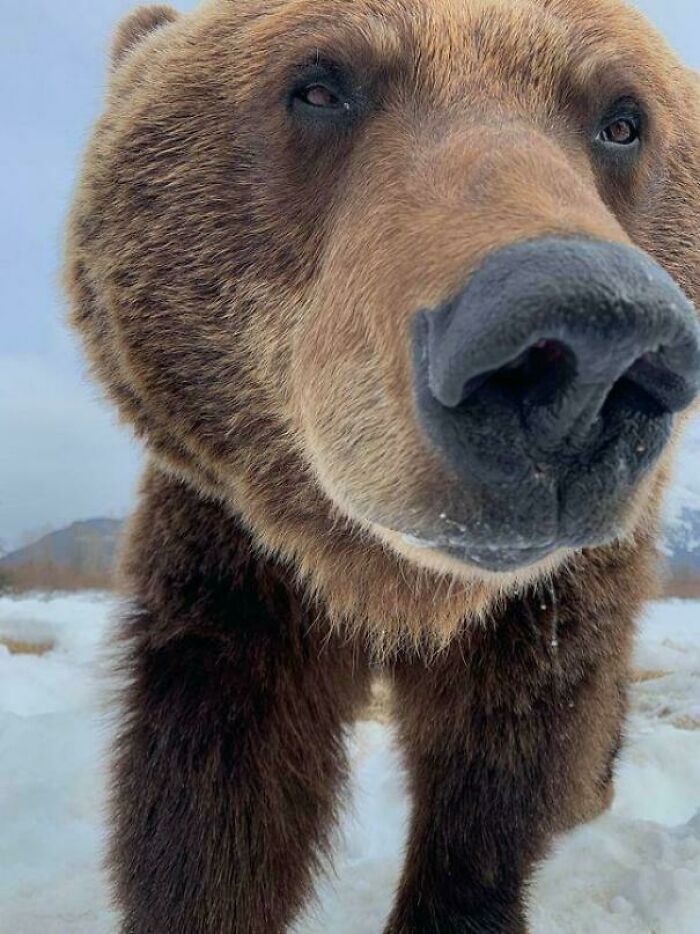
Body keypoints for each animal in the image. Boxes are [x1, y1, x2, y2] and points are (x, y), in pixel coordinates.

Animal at [64, 0, 700, 931]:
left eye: (623, 120)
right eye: (319, 85)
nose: (586, 349)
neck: (394, 586)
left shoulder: (550, 596)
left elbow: (514, 758)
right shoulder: (236, 551)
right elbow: (216, 775)